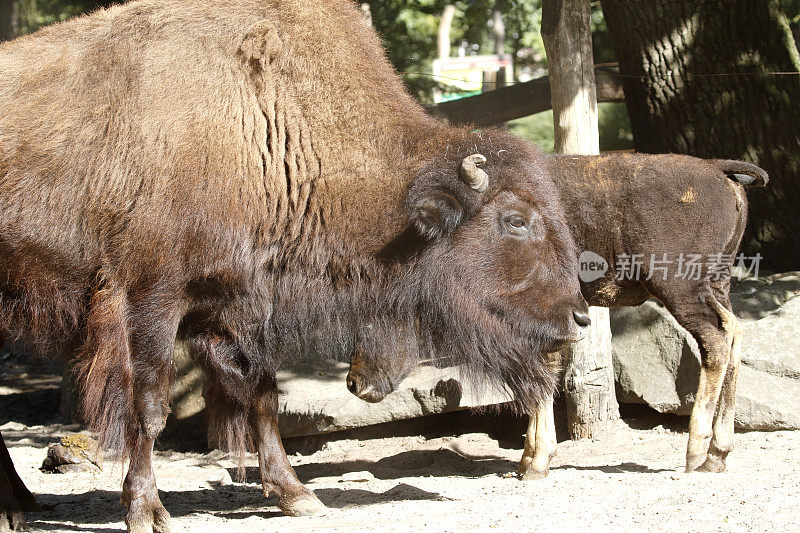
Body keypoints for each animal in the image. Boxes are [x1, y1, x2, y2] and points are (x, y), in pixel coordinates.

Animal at [0, 1, 588, 532]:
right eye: (515, 220)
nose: (579, 316)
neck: (265, 120)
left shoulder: (241, 307)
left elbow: (263, 397)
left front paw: (298, 496)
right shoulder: (150, 303)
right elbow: (149, 408)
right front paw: (146, 512)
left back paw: (20, 507)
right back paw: (17, 509)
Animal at [346, 152, 764, 476]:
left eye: (383, 308)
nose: (354, 382)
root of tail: (716, 169)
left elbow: (539, 377)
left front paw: (536, 463)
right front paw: (525, 460)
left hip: (682, 290)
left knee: (715, 341)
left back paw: (695, 454)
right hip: (716, 287)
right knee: (735, 334)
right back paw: (717, 456)